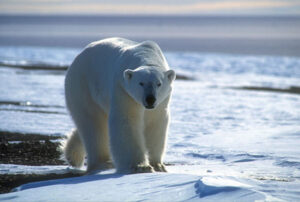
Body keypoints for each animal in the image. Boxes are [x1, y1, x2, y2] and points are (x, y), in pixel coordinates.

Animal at [63, 38, 176, 174]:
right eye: (141, 83)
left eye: (158, 84)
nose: (150, 99)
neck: (147, 55)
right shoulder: (122, 89)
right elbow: (126, 120)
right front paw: (140, 166)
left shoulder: (161, 103)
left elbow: (156, 123)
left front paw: (158, 165)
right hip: (83, 86)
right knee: (93, 124)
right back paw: (103, 163)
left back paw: (72, 154)